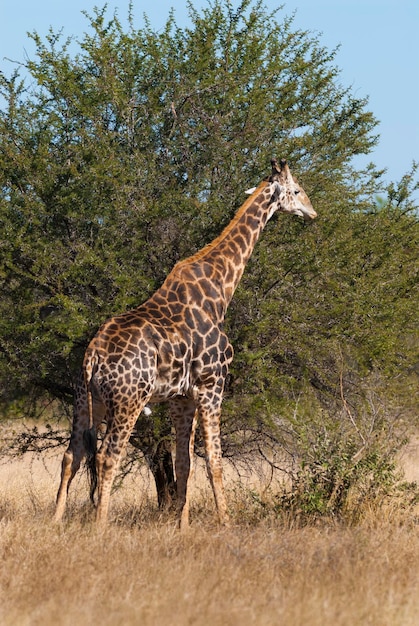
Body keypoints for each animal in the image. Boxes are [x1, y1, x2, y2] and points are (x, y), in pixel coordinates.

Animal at [55, 158, 318, 524]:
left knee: (72, 455)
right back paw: (100, 526)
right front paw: (225, 523)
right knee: (108, 456)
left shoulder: (183, 397)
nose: (312, 212)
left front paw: (182, 526)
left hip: (86, 398)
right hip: (128, 400)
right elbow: (215, 462)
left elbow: (185, 463)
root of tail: (92, 356)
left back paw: (55, 521)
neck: (221, 290)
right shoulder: (213, 385)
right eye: (296, 190)